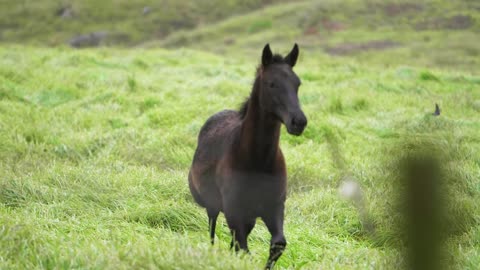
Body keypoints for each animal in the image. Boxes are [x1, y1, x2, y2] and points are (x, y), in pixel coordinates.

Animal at [188, 43, 308, 268]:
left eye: (297, 83)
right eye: (271, 84)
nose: (299, 121)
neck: (258, 161)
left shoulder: (274, 207)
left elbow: (277, 244)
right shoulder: (234, 211)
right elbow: (243, 248)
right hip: (214, 206)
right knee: (212, 231)